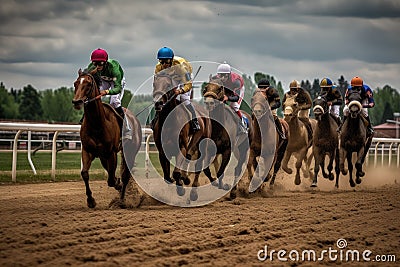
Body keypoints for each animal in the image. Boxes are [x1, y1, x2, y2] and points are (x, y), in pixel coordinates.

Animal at [72, 67, 142, 209]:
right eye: (75, 83)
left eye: (88, 84)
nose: (77, 102)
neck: (97, 124)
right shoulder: (87, 150)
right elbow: (85, 173)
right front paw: (91, 201)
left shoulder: (111, 153)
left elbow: (111, 179)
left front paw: (118, 184)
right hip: (103, 156)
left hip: (130, 151)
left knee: (125, 176)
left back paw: (122, 200)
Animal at [152, 69, 212, 201]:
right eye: (154, 84)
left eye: (168, 85)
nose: (158, 103)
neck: (169, 122)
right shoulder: (162, 152)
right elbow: (167, 177)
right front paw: (181, 180)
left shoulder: (182, 148)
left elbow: (176, 173)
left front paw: (181, 188)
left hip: (202, 144)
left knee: (198, 165)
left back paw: (193, 193)